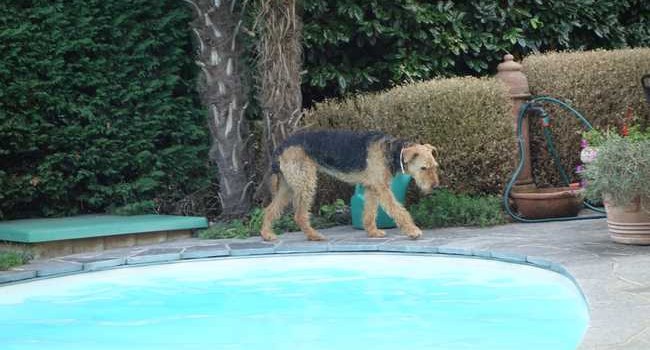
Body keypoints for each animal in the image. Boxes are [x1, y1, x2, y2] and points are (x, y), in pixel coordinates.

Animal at [260, 130, 438, 242]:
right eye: (423, 168)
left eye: (435, 166)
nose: (435, 186)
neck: (393, 152)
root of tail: (281, 146)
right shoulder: (382, 188)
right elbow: (398, 210)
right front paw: (413, 231)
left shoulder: (372, 187)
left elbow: (370, 213)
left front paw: (373, 232)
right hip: (305, 183)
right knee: (299, 215)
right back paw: (314, 236)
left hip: (288, 187)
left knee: (270, 210)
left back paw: (267, 234)